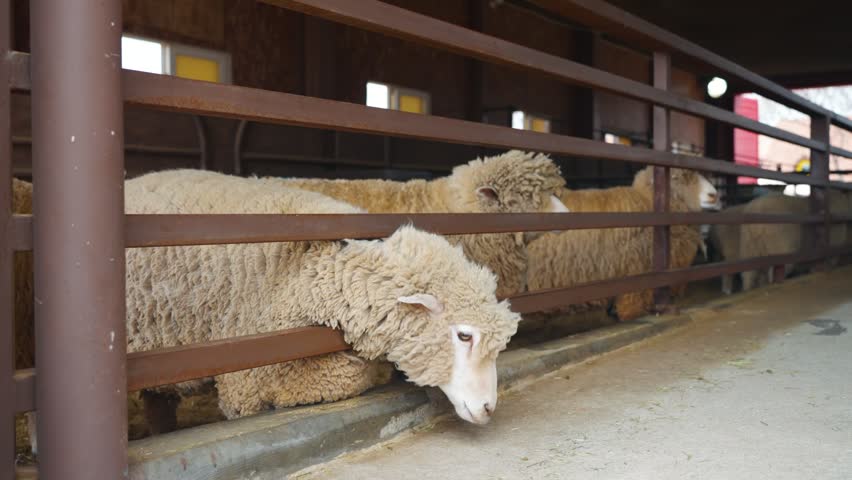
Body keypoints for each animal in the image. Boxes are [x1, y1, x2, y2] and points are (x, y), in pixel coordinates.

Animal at [526, 166, 719, 321]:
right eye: (675, 177)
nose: (714, 195)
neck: (649, 203)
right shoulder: (634, 269)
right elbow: (631, 304)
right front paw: (630, 315)